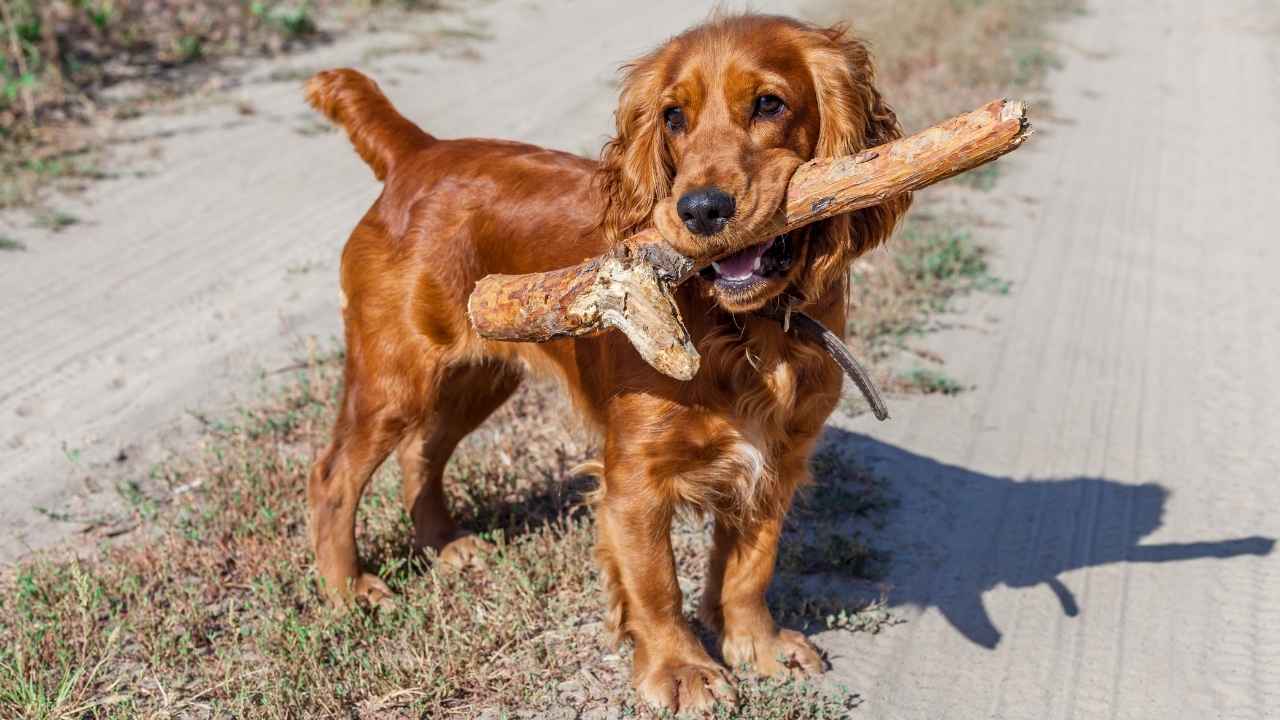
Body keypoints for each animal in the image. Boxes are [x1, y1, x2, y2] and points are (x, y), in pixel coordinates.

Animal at [303, 14, 906, 707]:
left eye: (769, 104)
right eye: (673, 117)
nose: (700, 209)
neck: (745, 329)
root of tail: (418, 153)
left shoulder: (778, 458)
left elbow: (751, 567)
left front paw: (758, 645)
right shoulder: (635, 478)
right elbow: (656, 583)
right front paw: (682, 669)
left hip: (480, 377)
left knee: (420, 452)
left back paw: (445, 545)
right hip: (396, 376)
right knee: (333, 475)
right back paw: (348, 591)